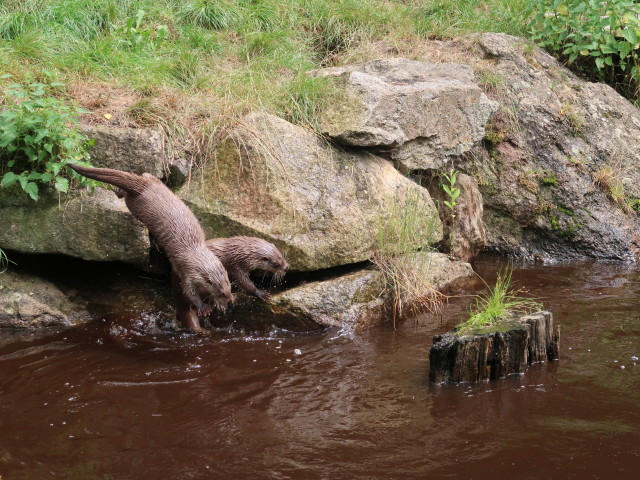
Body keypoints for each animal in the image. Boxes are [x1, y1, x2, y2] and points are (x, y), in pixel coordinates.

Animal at [67, 163, 232, 320]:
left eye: (230, 287)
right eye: (221, 292)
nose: (229, 301)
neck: (195, 250)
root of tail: (144, 186)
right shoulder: (186, 272)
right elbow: (188, 292)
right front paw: (203, 308)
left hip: (152, 180)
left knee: (145, 174)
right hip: (135, 205)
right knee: (127, 196)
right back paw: (118, 191)